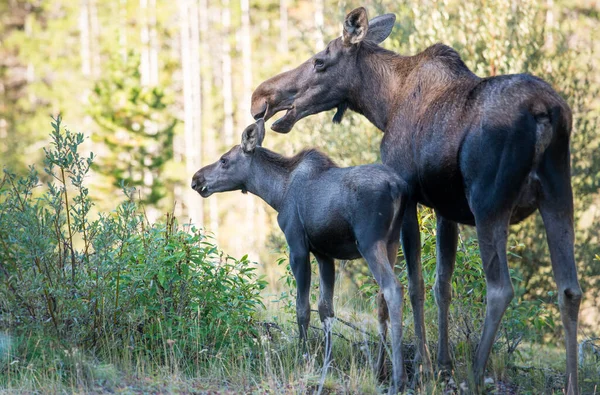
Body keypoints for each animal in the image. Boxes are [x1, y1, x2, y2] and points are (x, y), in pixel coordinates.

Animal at [192, 120, 408, 392]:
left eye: (224, 160)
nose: (196, 178)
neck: (276, 192)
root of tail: (398, 187)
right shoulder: (325, 254)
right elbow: (326, 309)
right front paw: (327, 363)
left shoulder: (297, 246)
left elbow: (302, 308)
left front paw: (303, 358)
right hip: (392, 242)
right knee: (381, 300)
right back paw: (379, 370)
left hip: (370, 242)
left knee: (392, 288)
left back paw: (398, 379)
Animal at [252, 6, 580, 395]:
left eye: (319, 61)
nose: (261, 97)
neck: (383, 105)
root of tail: (546, 112)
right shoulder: (445, 209)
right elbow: (442, 285)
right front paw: (442, 366)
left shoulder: (407, 195)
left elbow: (410, 286)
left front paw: (416, 368)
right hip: (559, 195)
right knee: (569, 289)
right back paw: (572, 384)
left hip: (489, 202)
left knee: (500, 289)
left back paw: (475, 375)